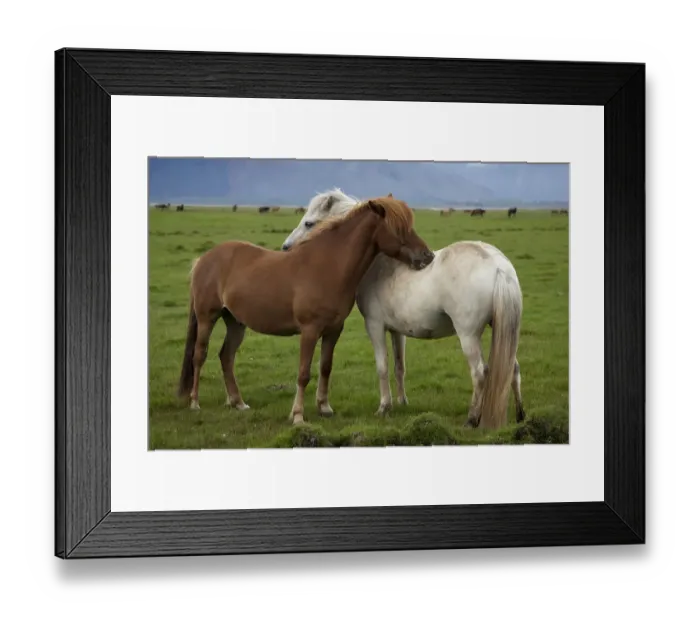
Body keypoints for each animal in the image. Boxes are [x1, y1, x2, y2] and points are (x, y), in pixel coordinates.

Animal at [178, 196, 435, 426]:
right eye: (399, 228)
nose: (428, 256)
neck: (328, 265)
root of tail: (204, 259)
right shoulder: (310, 331)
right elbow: (303, 374)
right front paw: (298, 416)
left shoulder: (333, 330)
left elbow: (325, 368)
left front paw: (324, 407)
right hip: (207, 318)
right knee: (199, 355)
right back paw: (195, 403)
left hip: (235, 322)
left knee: (226, 356)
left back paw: (238, 402)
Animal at [281, 189, 525, 430]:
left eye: (309, 223)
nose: (286, 248)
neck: (379, 263)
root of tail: (499, 266)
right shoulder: (397, 331)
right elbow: (399, 366)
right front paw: (402, 402)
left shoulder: (374, 325)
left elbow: (382, 366)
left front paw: (384, 407)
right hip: (503, 330)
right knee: (512, 369)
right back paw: (520, 415)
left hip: (468, 335)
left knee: (480, 372)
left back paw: (472, 419)